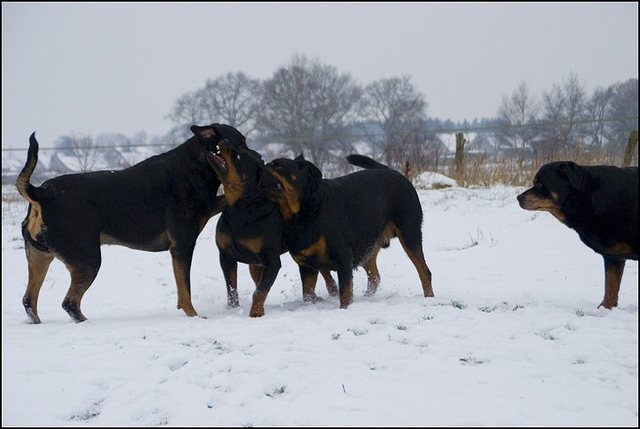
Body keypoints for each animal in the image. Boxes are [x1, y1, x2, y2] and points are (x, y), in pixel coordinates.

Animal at [16, 123, 249, 320]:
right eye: (240, 143)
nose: (255, 155)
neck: (196, 167)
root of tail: (42, 193)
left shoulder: (205, 209)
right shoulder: (182, 246)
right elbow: (185, 290)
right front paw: (193, 316)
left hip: (39, 257)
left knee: (29, 301)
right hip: (87, 260)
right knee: (70, 303)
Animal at [206, 139, 338, 316]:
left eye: (239, 156)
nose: (225, 140)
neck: (242, 209)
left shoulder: (271, 261)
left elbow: (260, 291)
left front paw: (255, 312)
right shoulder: (226, 256)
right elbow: (232, 289)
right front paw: (233, 309)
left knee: (324, 272)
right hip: (256, 264)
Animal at [260, 152, 436, 310]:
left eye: (277, 166)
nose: (263, 165)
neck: (305, 213)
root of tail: (391, 170)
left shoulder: (343, 257)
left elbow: (345, 292)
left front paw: (344, 310)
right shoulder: (306, 265)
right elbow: (308, 294)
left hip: (409, 234)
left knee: (424, 271)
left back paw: (429, 298)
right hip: (367, 246)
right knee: (374, 276)